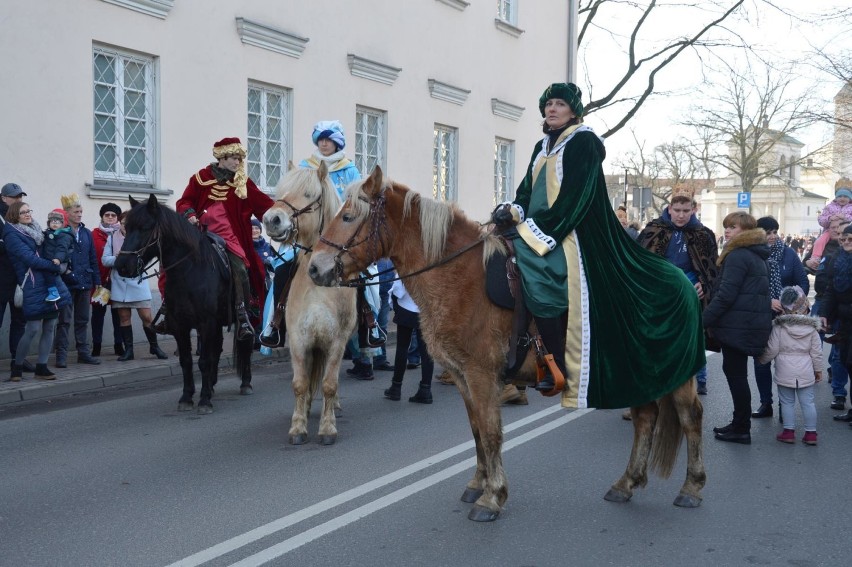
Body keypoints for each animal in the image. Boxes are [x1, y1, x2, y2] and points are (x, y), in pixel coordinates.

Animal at [115, 195, 253, 412]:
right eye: (126, 228)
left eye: (145, 227)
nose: (121, 266)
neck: (189, 272)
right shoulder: (180, 325)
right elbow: (186, 360)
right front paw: (187, 397)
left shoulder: (206, 323)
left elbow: (204, 360)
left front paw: (204, 400)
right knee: (217, 349)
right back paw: (212, 384)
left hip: (240, 313)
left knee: (245, 342)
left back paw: (245, 383)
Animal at [262, 162, 356, 446]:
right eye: (280, 190)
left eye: (308, 194)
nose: (271, 220)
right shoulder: (299, 340)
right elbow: (300, 384)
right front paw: (297, 426)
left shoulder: (336, 341)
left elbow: (329, 384)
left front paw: (327, 428)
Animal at [308, 168, 704, 524]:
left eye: (348, 216)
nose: (313, 268)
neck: (460, 277)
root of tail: (682, 280)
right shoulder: (463, 376)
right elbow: (477, 431)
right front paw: (477, 485)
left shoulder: (483, 375)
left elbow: (492, 432)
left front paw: (492, 497)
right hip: (639, 371)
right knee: (645, 416)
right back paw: (627, 483)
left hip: (674, 375)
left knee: (690, 417)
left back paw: (692, 487)